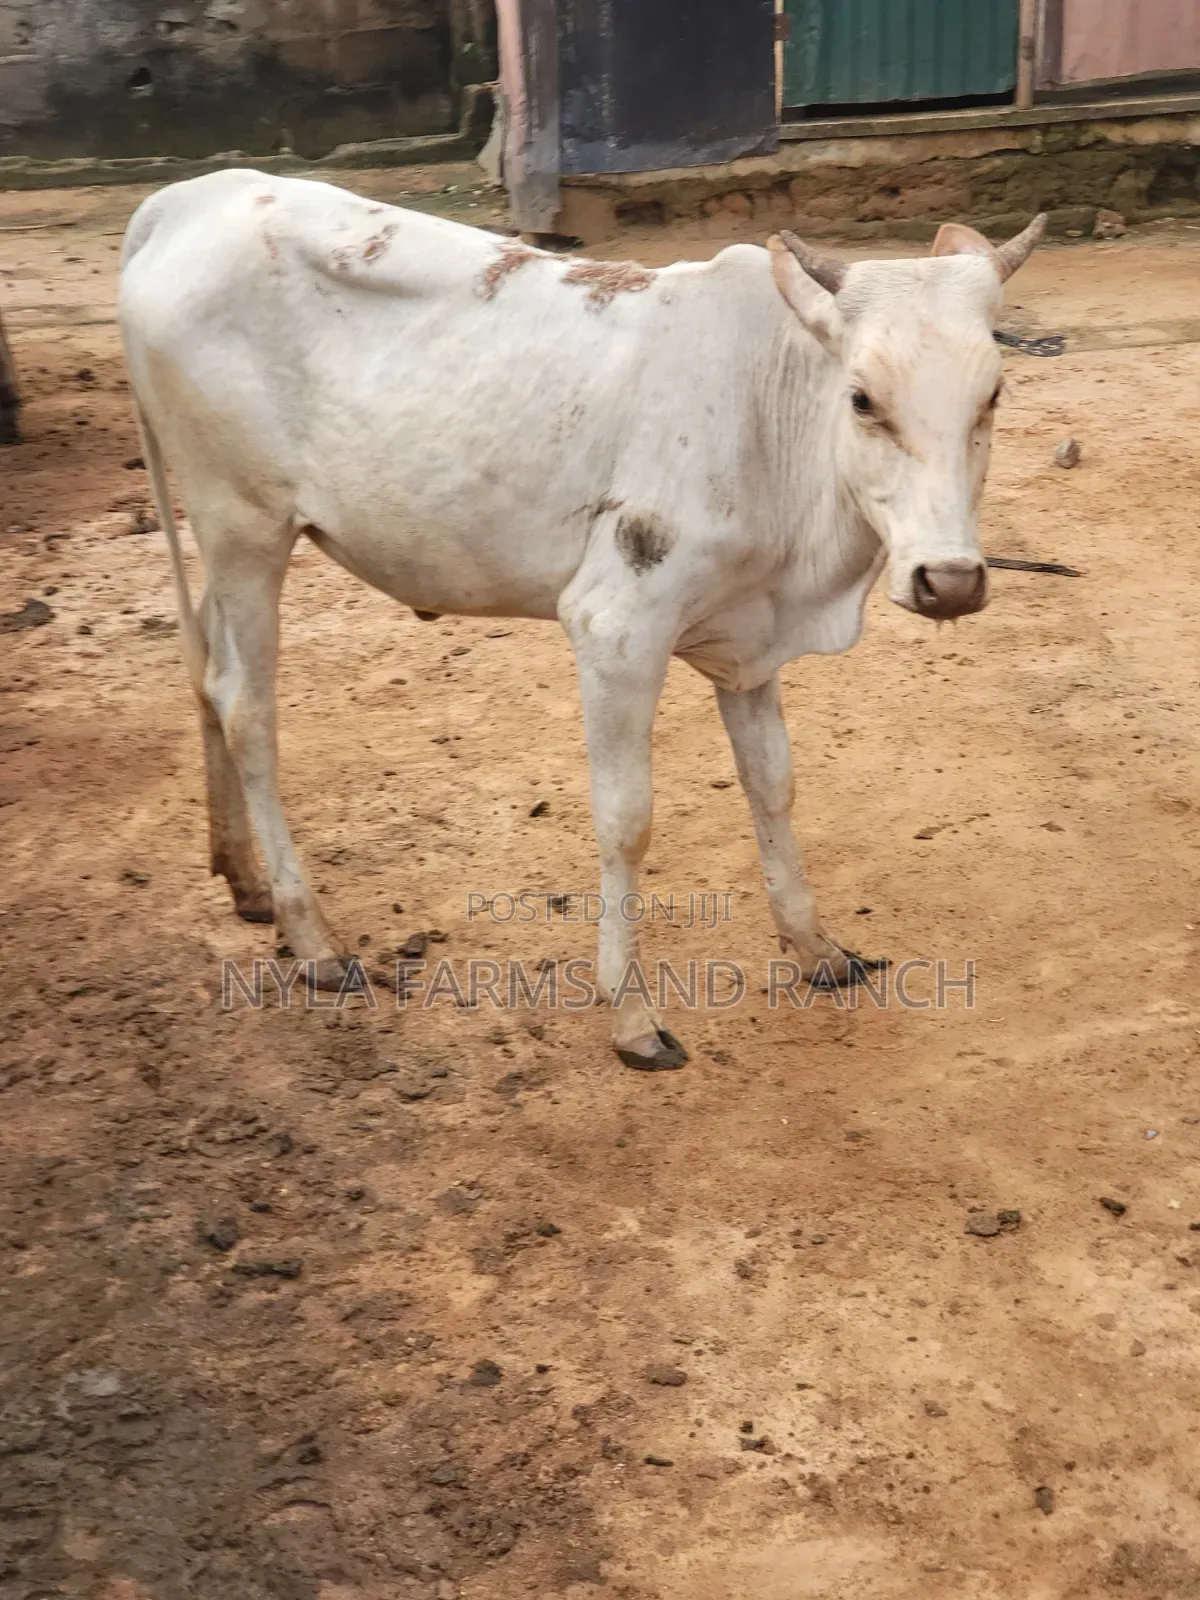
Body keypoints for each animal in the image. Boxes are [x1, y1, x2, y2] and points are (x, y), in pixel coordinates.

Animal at [118, 169, 1044, 1070]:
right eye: (861, 399)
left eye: (992, 395)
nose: (950, 580)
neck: (770, 418)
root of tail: (191, 196)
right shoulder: (617, 627)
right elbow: (626, 820)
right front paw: (631, 1015)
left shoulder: (750, 644)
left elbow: (773, 786)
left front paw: (816, 947)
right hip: (243, 526)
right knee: (247, 707)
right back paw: (309, 934)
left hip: (231, 545)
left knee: (207, 674)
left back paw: (243, 880)